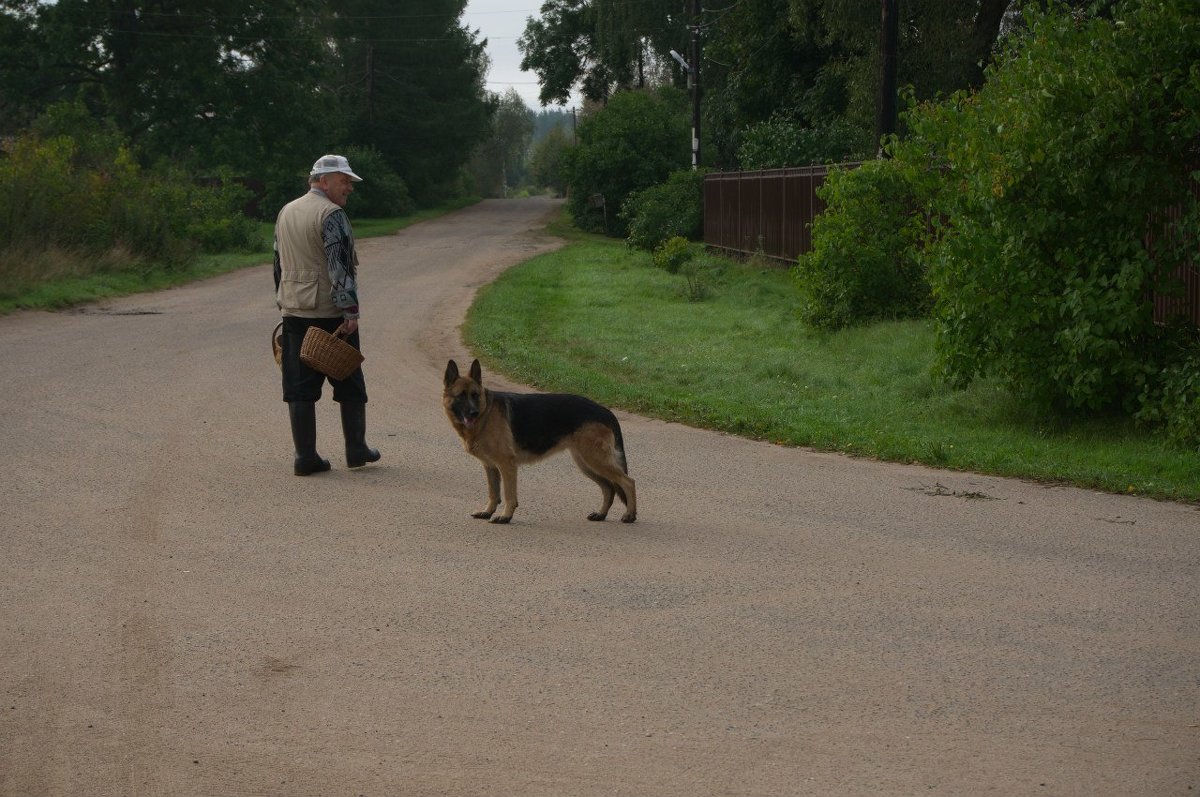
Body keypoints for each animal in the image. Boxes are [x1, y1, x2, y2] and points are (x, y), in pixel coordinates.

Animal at [444, 360, 638, 523]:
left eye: (475, 395)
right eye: (461, 396)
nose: (473, 413)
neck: (486, 412)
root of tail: (605, 411)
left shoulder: (507, 465)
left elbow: (508, 494)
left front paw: (505, 516)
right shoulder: (490, 466)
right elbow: (493, 493)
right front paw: (487, 512)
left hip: (595, 460)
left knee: (628, 482)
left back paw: (630, 515)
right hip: (586, 464)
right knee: (609, 488)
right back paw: (601, 514)